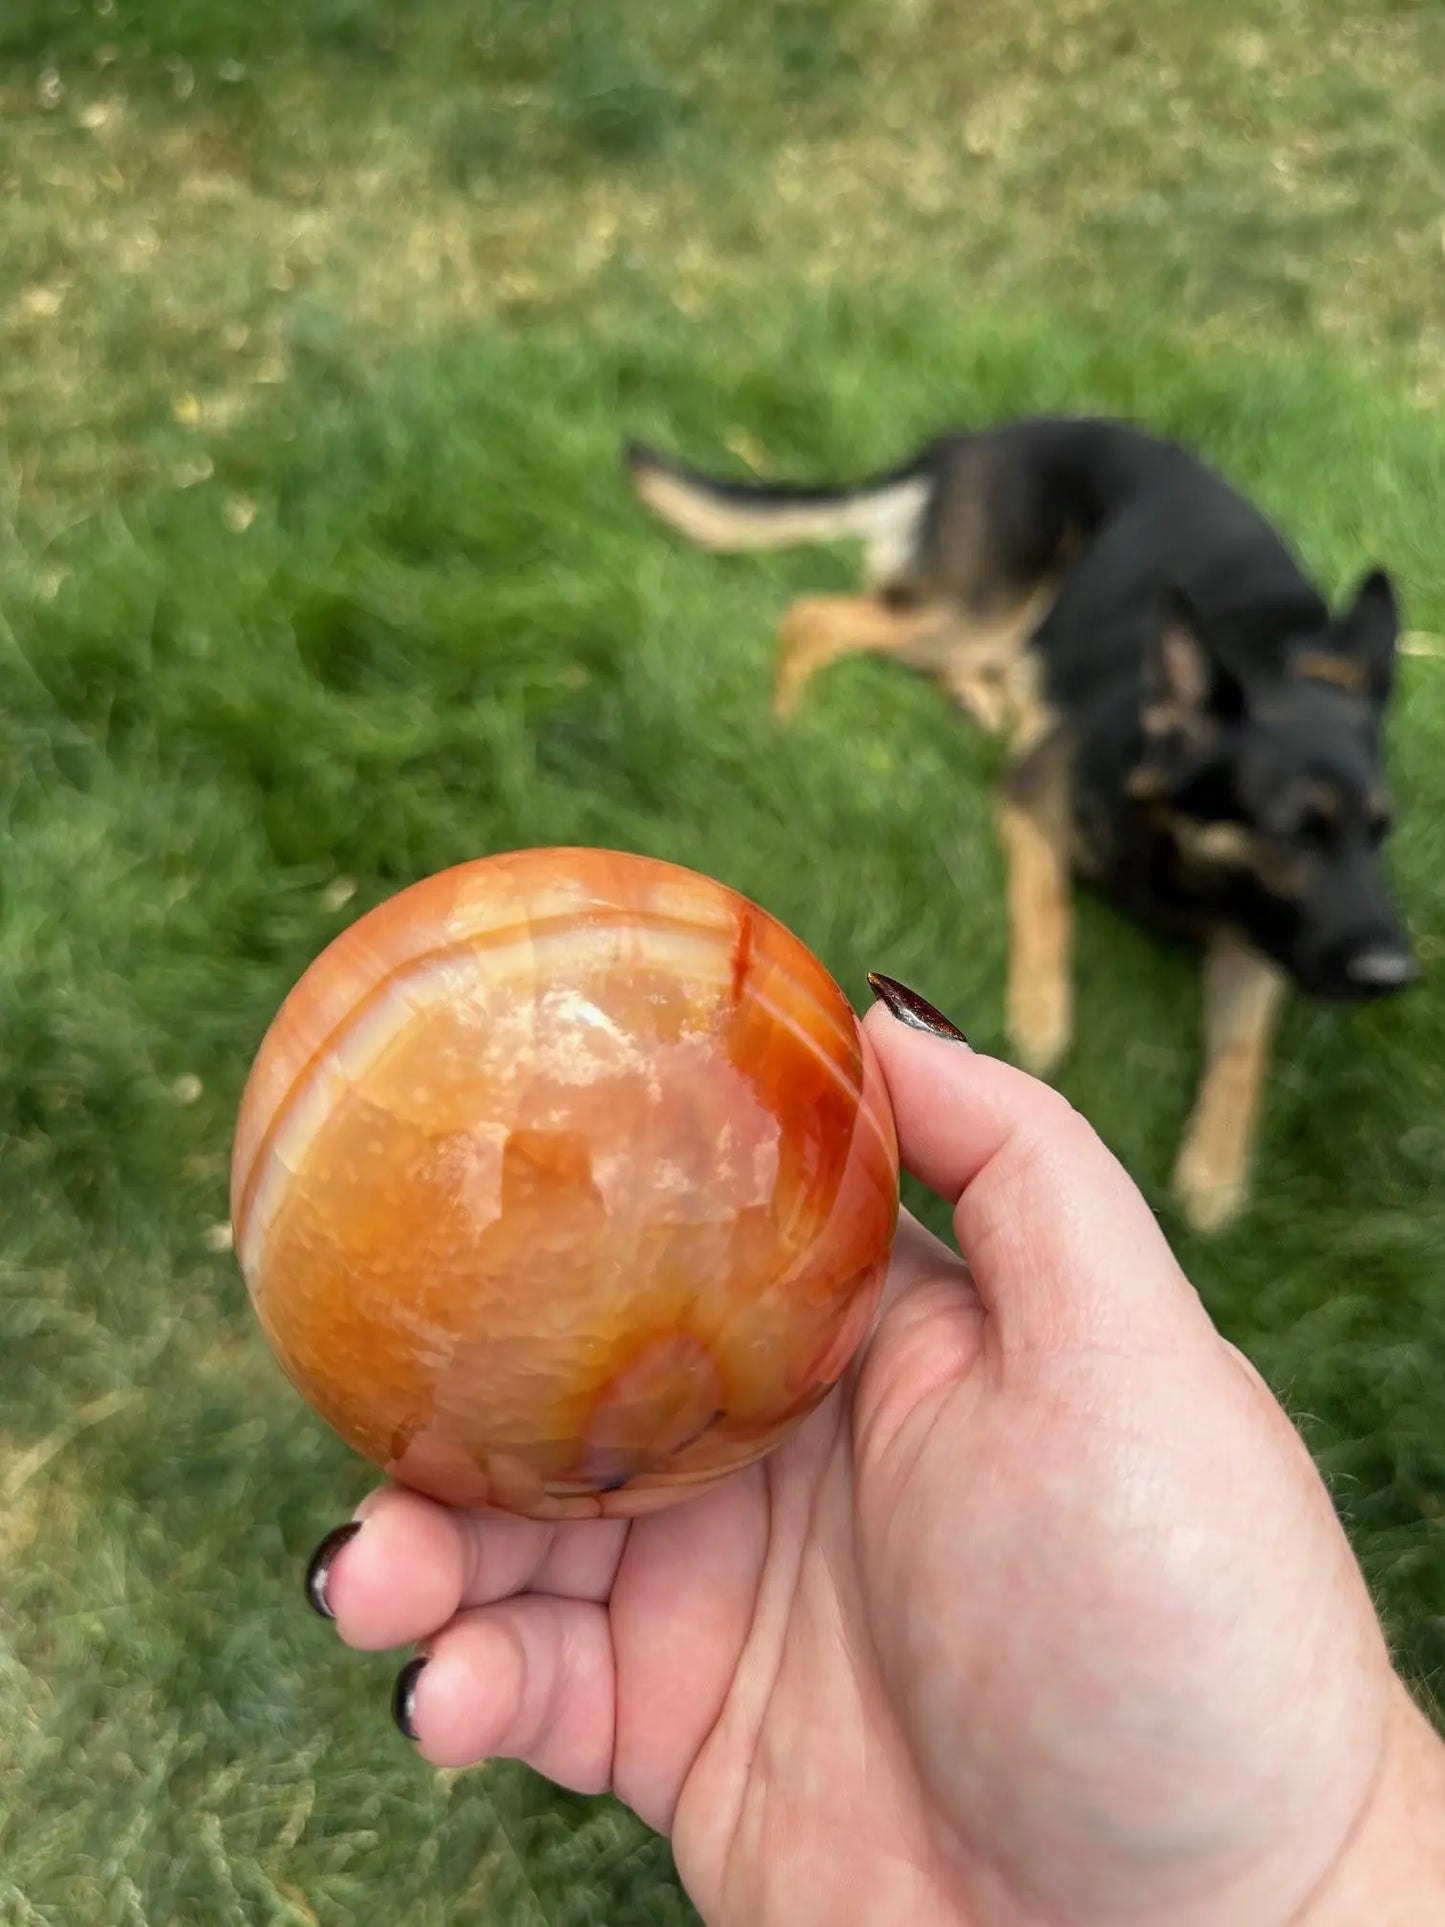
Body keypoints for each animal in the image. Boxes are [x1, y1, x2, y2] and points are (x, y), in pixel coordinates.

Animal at [628, 422, 1418, 1233]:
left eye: (1379, 831)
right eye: (1293, 830)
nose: (1395, 975)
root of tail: (973, 438)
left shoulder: (1261, 937)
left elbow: (1243, 1051)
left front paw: (1214, 1169)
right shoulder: (1033, 795)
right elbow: (1049, 901)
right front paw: (1041, 1012)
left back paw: (988, 702)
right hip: (984, 607)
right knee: (817, 616)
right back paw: (785, 722)